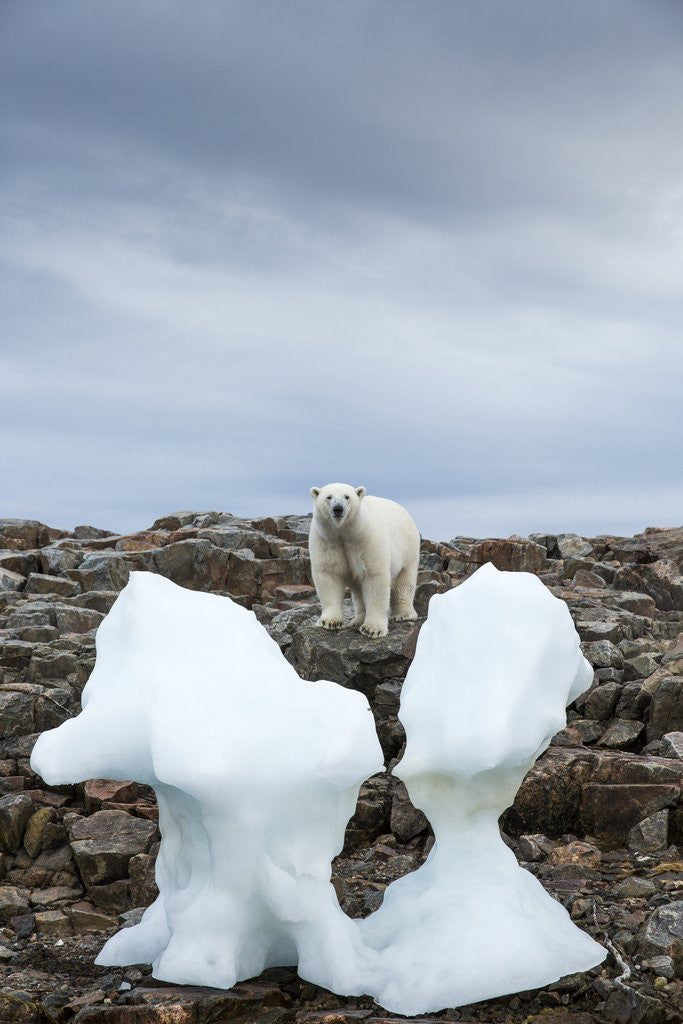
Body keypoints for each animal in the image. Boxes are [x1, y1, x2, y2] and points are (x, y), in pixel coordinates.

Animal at [309, 483, 420, 638]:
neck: (344, 533)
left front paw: (372, 629)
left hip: (408, 549)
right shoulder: (325, 540)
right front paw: (330, 622)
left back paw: (403, 614)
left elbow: (374, 577)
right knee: (358, 591)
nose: (338, 509)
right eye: (328, 497)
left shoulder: (366, 538)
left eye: (347, 497)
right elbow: (329, 575)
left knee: (404, 581)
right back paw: (358, 620)